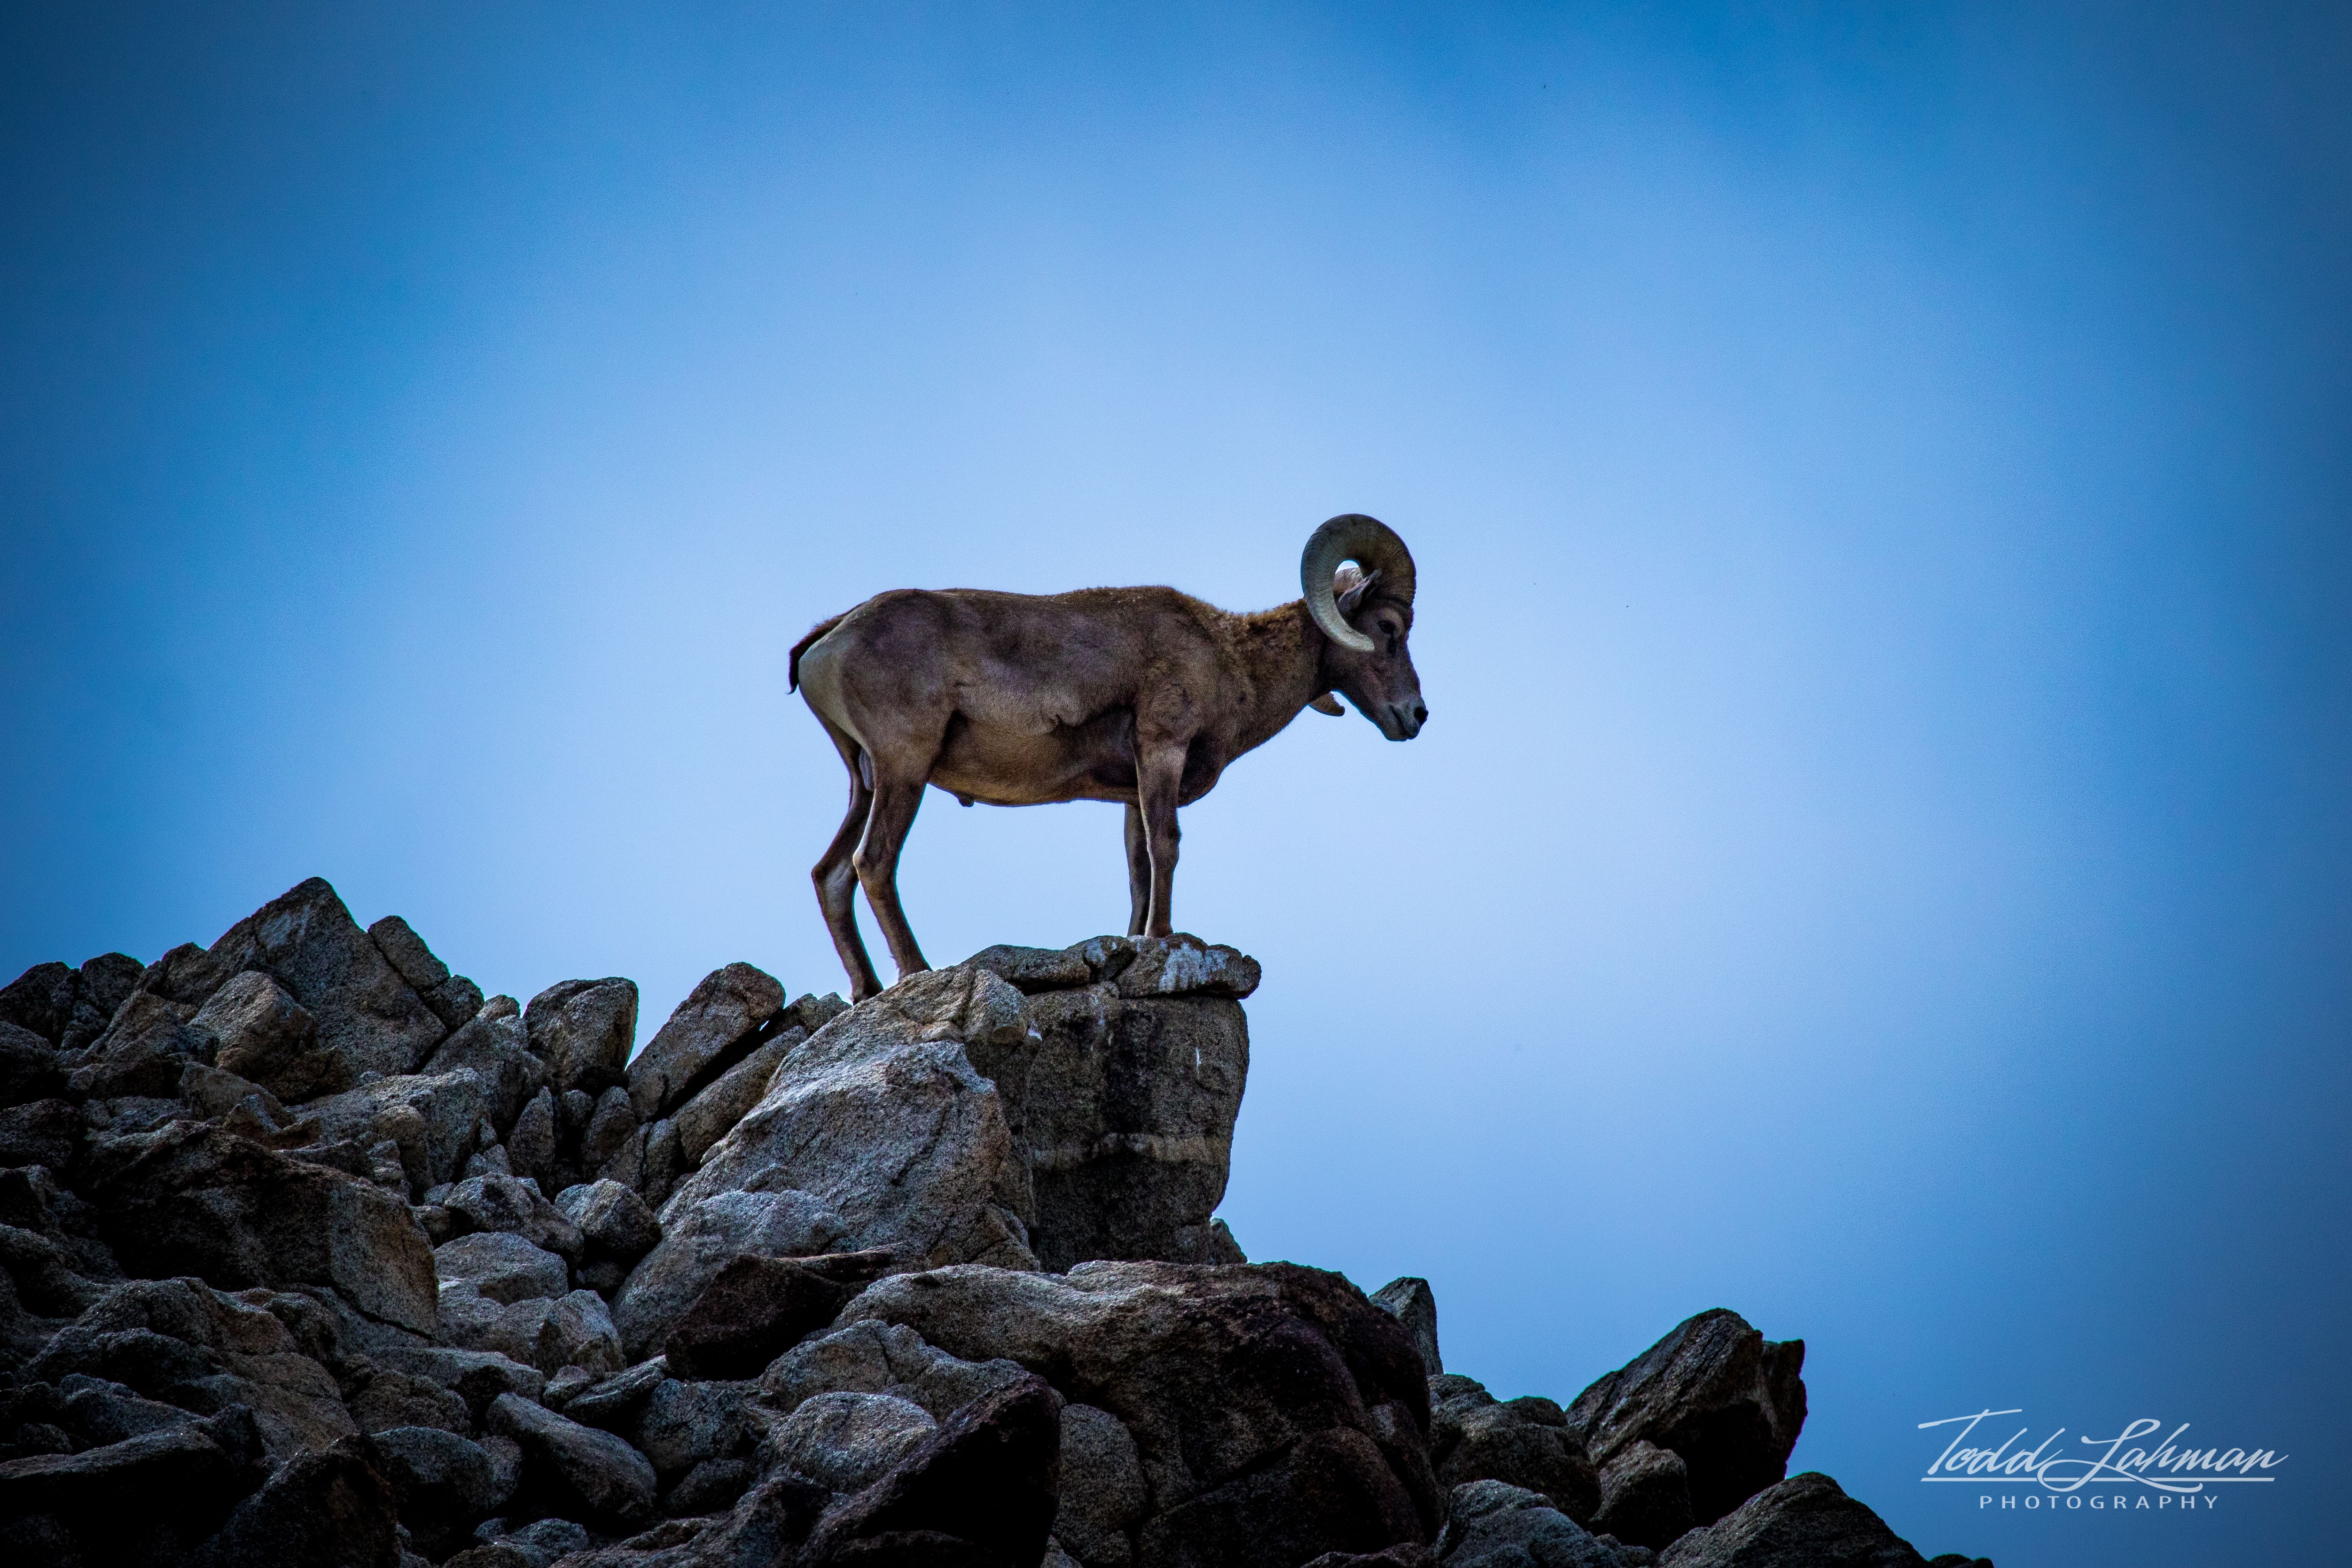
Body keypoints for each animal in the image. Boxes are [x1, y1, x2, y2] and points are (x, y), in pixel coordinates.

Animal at [788, 514, 1426, 999]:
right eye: (1388, 626)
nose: (1416, 715)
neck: (1232, 663)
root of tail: (827, 641)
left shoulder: (1131, 790)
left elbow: (1139, 869)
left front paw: (1138, 939)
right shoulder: (1162, 750)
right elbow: (1167, 847)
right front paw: (1165, 938)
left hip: (866, 779)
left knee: (831, 875)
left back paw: (867, 990)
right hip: (905, 768)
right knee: (873, 863)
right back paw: (918, 972)